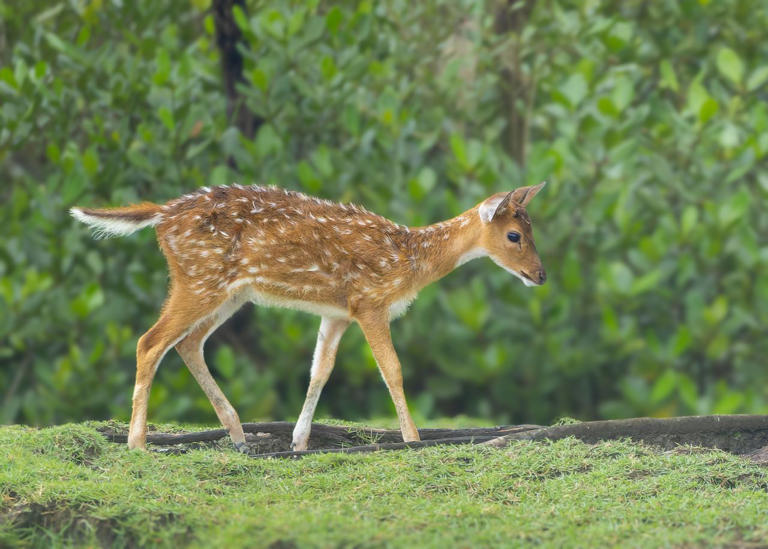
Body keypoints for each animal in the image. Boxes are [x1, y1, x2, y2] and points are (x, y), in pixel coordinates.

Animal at [70, 182, 546, 452]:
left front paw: (300, 443)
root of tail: (161, 214)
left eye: (532, 231)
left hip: (230, 291)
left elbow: (320, 369)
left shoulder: (337, 312)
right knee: (149, 341)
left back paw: (239, 435)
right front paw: (412, 440)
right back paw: (137, 443)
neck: (409, 260)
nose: (540, 275)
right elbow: (392, 369)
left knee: (188, 343)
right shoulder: (369, 300)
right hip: (199, 279)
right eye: (514, 235)